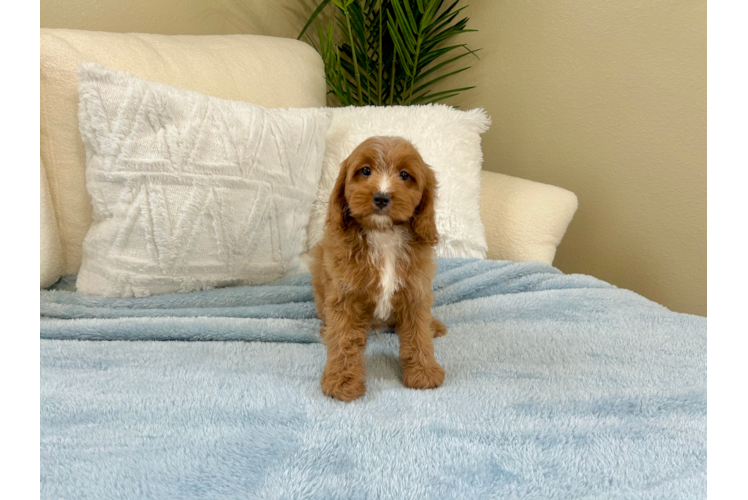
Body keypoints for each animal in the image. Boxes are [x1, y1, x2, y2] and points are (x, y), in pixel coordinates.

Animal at [310, 137, 444, 402]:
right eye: (365, 171)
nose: (381, 197)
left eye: (404, 175)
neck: (384, 234)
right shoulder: (345, 295)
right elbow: (344, 338)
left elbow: (418, 334)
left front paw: (423, 372)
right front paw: (341, 381)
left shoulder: (415, 290)